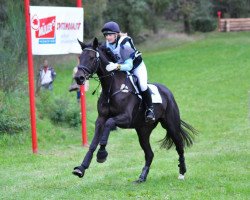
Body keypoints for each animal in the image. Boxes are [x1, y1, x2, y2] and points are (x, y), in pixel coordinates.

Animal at [71, 38, 196, 183]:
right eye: (80, 58)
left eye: (91, 58)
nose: (79, 78)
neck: (111, 87)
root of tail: (168, 92)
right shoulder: (100, 119)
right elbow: (93, 142)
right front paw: (81, 168)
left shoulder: (125, 118)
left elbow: (109, 124)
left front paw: (102, 154)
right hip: (143, 130)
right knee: (149, 154)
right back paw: (142, 177)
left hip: (171, 125)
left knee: (179, 145)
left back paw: (182, 172)